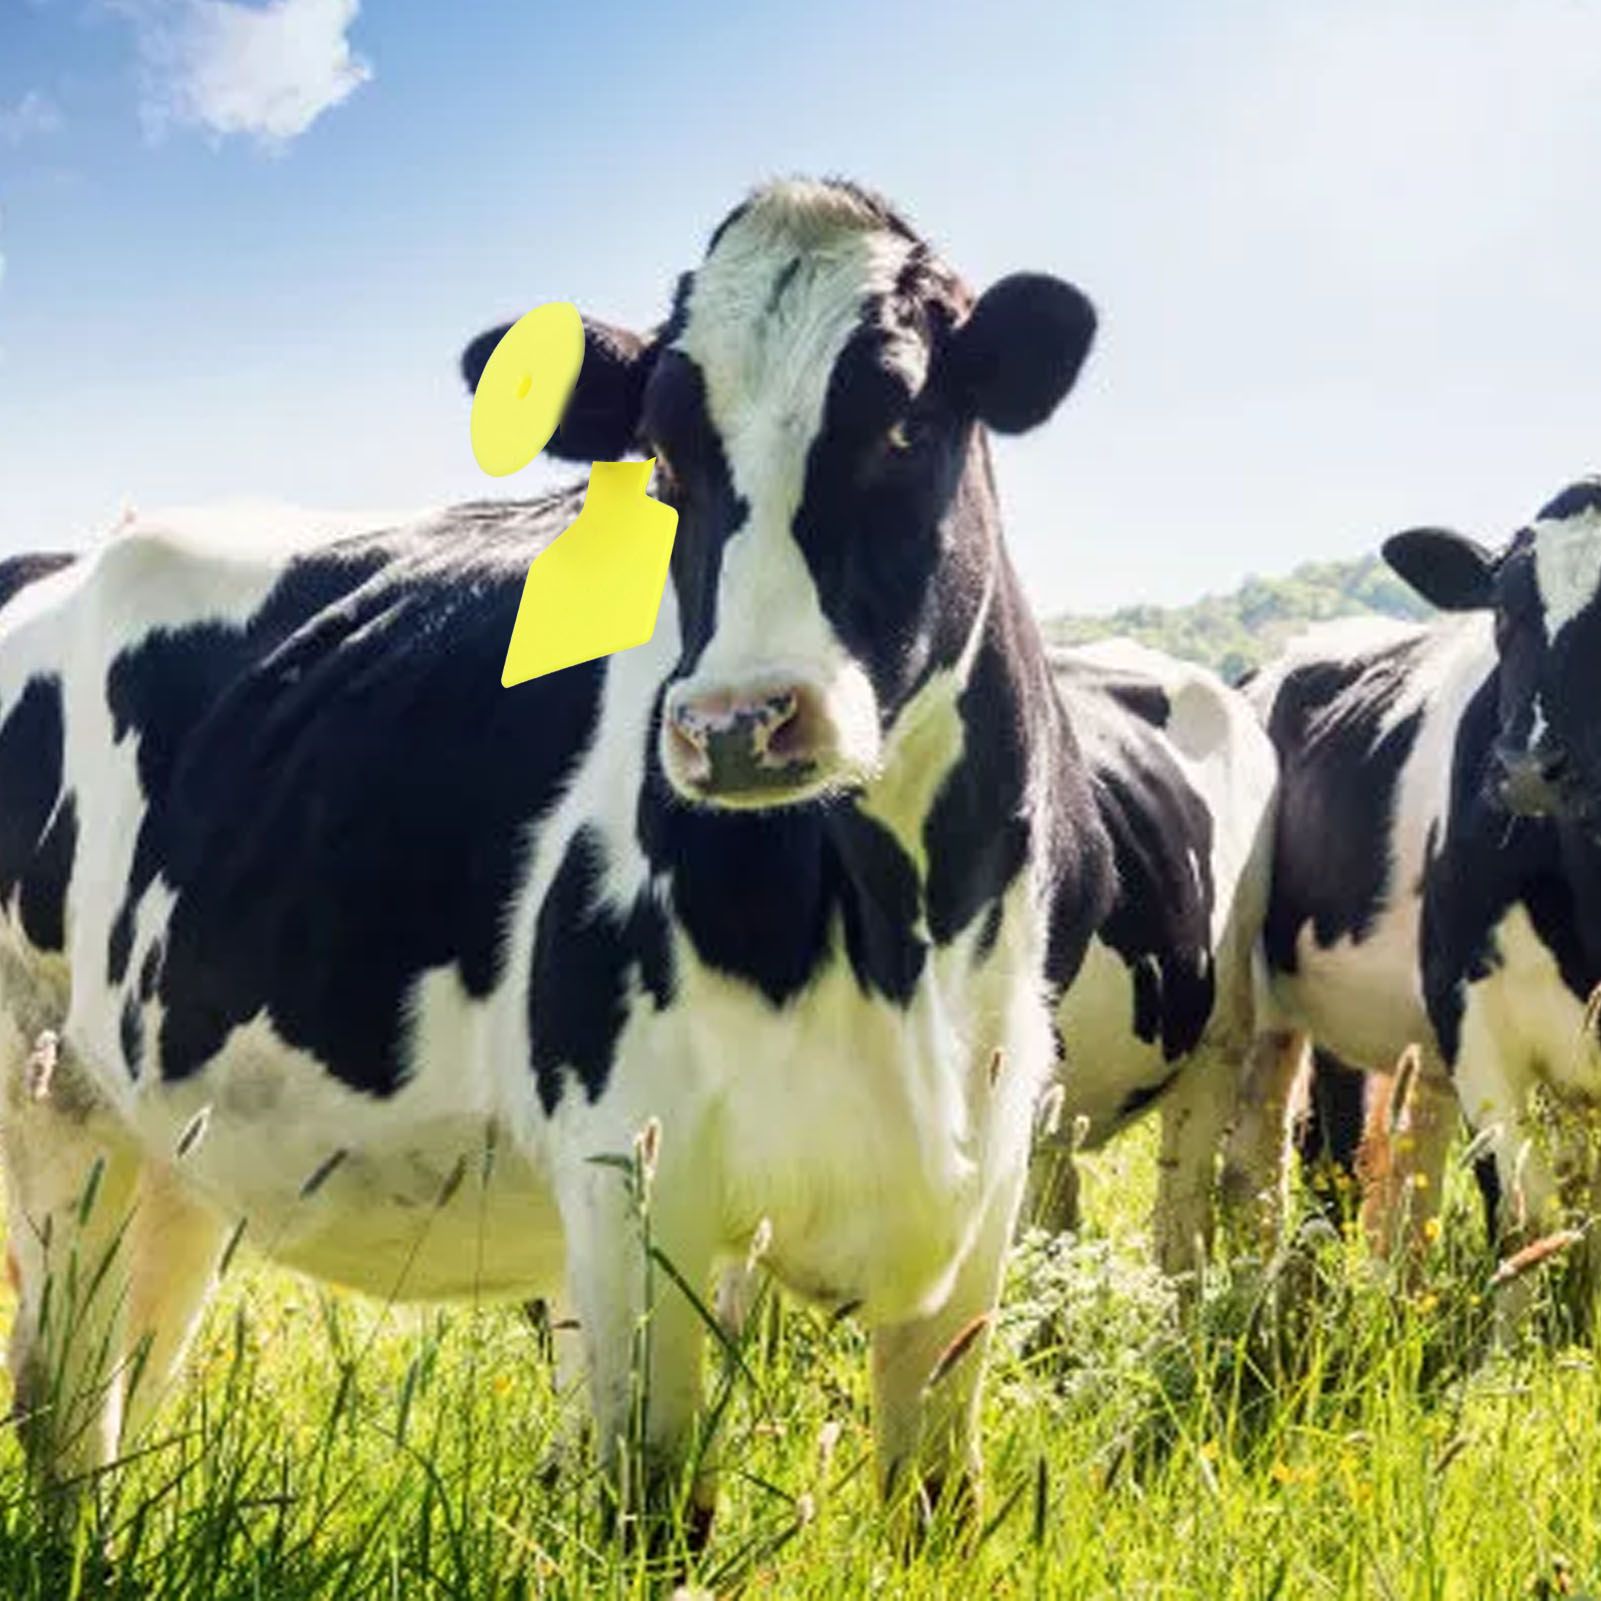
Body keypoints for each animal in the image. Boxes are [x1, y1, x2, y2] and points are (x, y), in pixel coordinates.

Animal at [0, 178, 1129, 1539]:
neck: (899, 924)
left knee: (130, 1382)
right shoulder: (634, 1174)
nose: (736, 722)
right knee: (64, 1396)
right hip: (49, 1101)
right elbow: (653, 1507)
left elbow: (934, 1502)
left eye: (904, 421)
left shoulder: (984, 1180)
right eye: (667, 460)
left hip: (171, 1145)